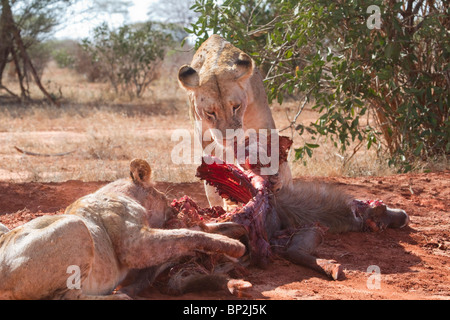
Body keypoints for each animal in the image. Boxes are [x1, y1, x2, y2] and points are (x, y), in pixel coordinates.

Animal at [0, 160, 246, 300]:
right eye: (164, 199)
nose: (171, 210)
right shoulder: (136, 246)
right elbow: (187, 234)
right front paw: (234, 245)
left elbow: (191, 231)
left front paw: (234, 228)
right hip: (76, 227)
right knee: (67, 297)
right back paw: (120, 298)